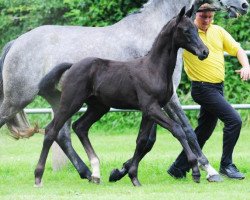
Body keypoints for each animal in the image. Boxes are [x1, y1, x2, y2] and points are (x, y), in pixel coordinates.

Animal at [0, 0, 248, 184]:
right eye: (186, 31)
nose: (244, 5)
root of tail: (14, 43)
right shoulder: (166, 101)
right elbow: (186, 130)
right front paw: (208, 170)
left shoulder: (153, 106)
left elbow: (147, 140)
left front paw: (122, 171)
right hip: (20, 99)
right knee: (49, 130)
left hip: (66, 101)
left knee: (62, 133)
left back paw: (89, 173)